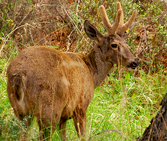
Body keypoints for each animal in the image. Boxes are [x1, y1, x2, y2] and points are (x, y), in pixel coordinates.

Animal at [6, 2, 138, 141]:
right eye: (114, 45)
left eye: (125, 42)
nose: (134, 61)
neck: (91, 73)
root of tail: (19, 75)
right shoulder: (81, 106)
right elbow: (83, 136)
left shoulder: (64, 117)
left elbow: (63, 136)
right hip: (49, 108)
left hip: (19, 109)